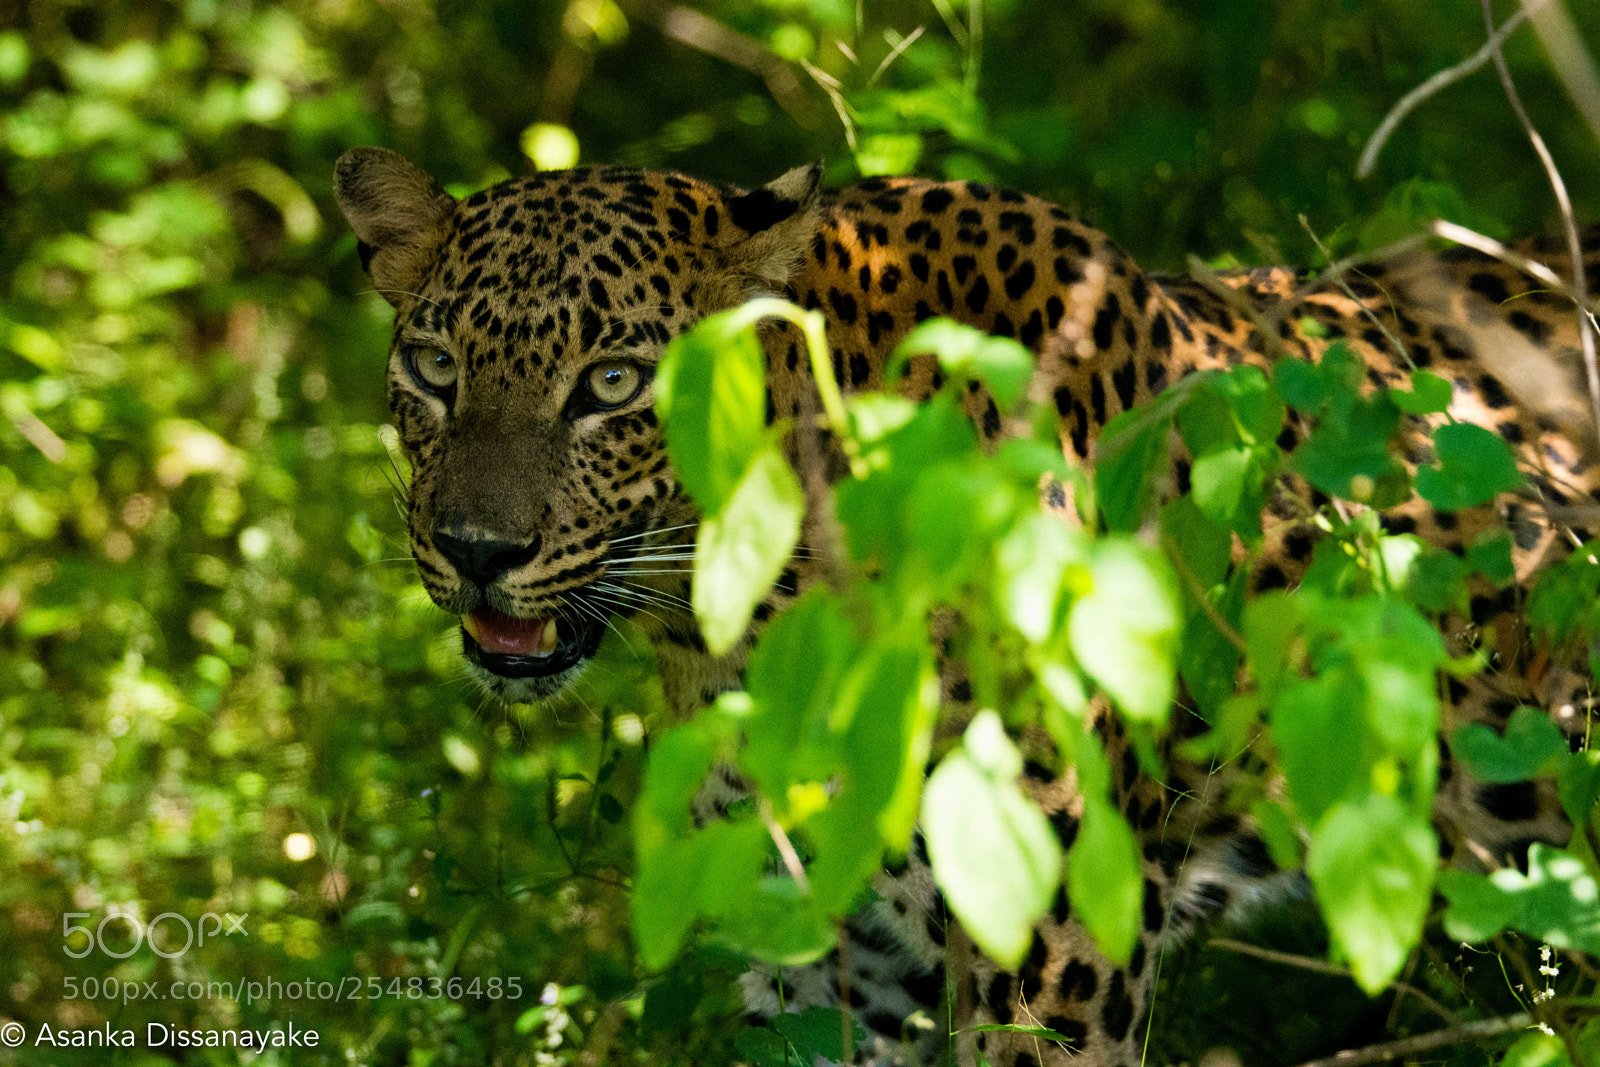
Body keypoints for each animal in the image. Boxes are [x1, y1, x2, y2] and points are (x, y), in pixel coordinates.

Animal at [334, 145, 1599, 1066]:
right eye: (437, 368)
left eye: (612, 383)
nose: (476, 550)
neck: (761, 615)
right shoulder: (823, 947)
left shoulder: (1054, 948)